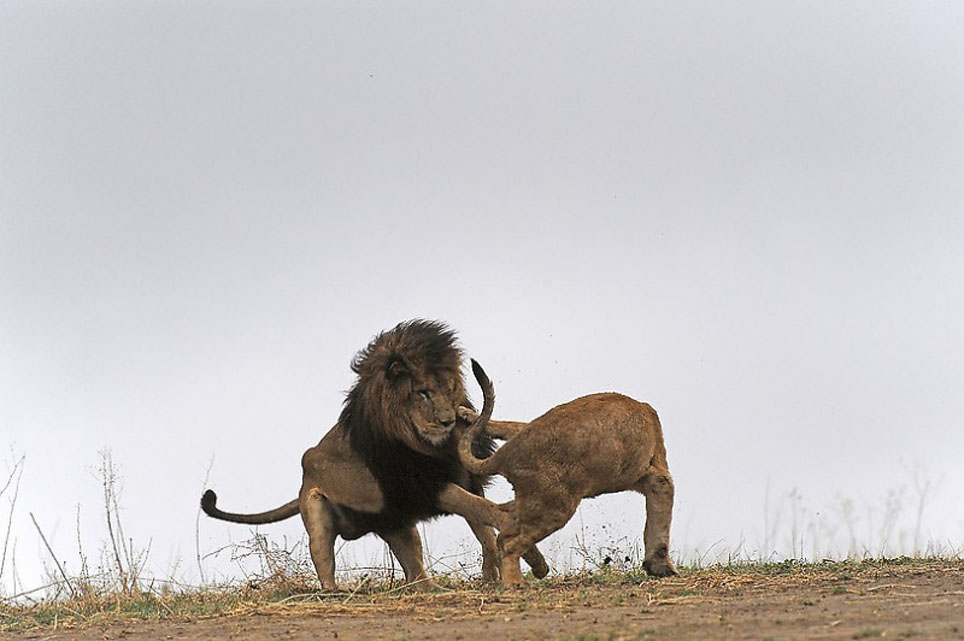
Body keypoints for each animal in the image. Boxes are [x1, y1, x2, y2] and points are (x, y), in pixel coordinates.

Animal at [200, 320, 548, 592]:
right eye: (423, 393)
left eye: (450, 389)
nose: (448, 420)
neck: (434, 444)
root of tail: (302, 481)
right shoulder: (429, 487)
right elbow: (488, 511)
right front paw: (531, 557)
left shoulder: (463, 478)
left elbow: (484, 526)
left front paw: (497, 571)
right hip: (318, 510)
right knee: (324, 560)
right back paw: (333, 593)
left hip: (397, 524)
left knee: (415, 574)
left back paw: (435, 590)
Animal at [458, 360, 676, 584]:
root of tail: (504, 454)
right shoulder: (656, 474)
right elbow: (662, 508)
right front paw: (662, 567)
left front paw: (466, 413)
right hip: (556, 506)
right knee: (507, 541)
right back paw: (515, 582)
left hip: (535, 498)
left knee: (502, 519)